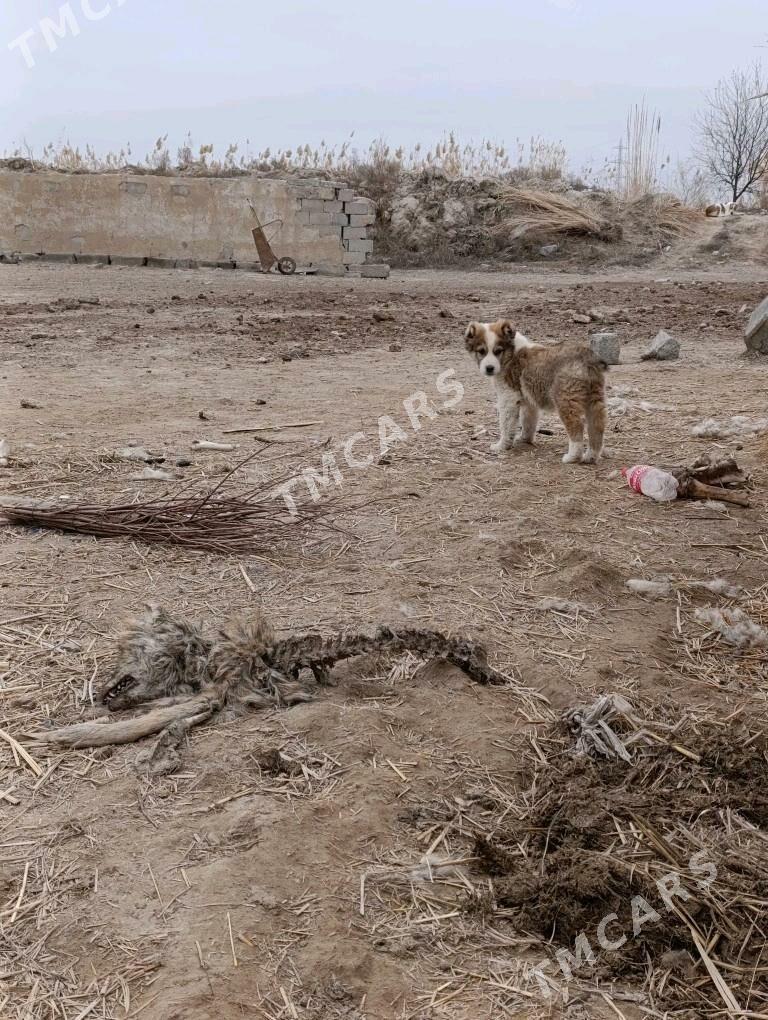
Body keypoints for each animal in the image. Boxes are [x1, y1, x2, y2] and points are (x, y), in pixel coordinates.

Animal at [465, 320, 607, 465]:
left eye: (498, 351)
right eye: (481, 351)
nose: (489, 368)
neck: (511, 354)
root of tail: (586, 358)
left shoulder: (508, 397)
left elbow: (506, 424)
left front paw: (502, 446)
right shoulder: (529, 402)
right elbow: (528, 421)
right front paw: (524, 439)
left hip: (565, 399)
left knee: (576, 426)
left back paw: (573, 457)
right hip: (594, 398)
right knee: (597, 426)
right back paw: (591, 456)